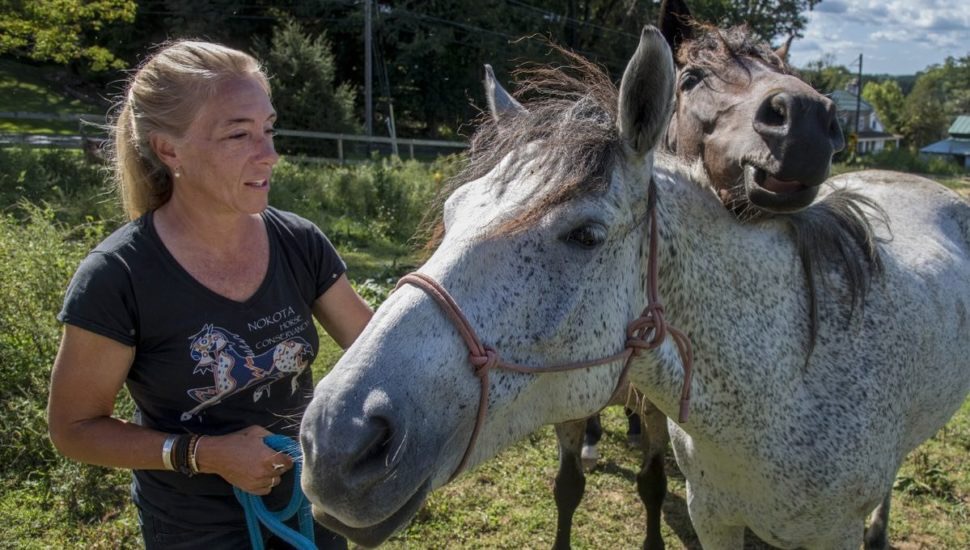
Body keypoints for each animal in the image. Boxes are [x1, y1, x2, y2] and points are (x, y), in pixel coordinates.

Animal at [300, 24, 968, 550]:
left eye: (585, 235)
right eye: (453, 212)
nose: (335, 440)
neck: (783, 385)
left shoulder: (827, 534)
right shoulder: (714, 518)